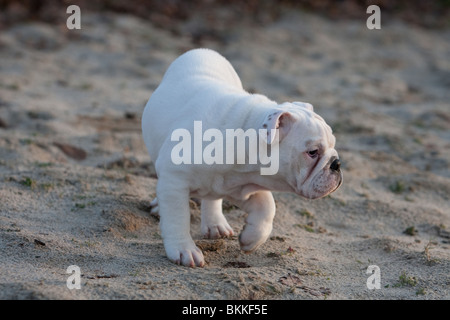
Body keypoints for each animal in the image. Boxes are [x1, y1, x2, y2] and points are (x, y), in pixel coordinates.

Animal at [141, 48, 342, 268]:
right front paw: (184, 250)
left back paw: (215, 224)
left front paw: (251, 238)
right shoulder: (174, 179)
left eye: (333, 145)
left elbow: (267, 206)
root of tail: (203, 51)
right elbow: (177, 217)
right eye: (312, 152)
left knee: (211, 199)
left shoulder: (242, 187)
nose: (337, 163)